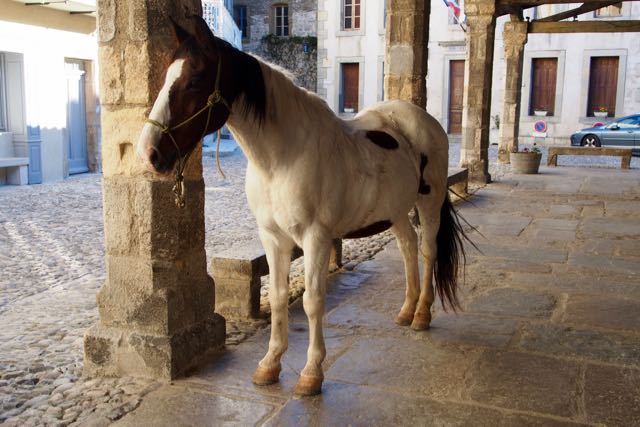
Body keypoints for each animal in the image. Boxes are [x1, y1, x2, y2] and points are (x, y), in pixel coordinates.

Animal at [137, 16, 467, 396]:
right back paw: (406, 310)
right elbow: (279, 297)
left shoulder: (315, 238)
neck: (281, 159)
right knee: (408, 248)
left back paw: (423, 314)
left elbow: (312, 301)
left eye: (193, 81)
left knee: (427, 250)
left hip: (428, 203)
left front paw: (311, 373)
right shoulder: (272, 238)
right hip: (396, 210)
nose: (148, 153)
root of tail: (423, 121)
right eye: (165, 78)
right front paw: (269, 365)